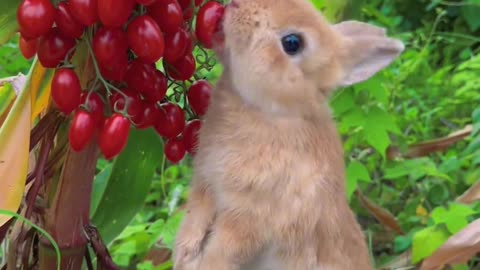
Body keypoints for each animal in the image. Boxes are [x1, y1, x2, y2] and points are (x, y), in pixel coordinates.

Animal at [172, 0, 404, 268]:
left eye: (292, 43)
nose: (235, 4)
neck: (272, 111)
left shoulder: (248, 217)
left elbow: (223, 250)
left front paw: (201, 263)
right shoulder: (206, 184)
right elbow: (195, 217)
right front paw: (183, 255)